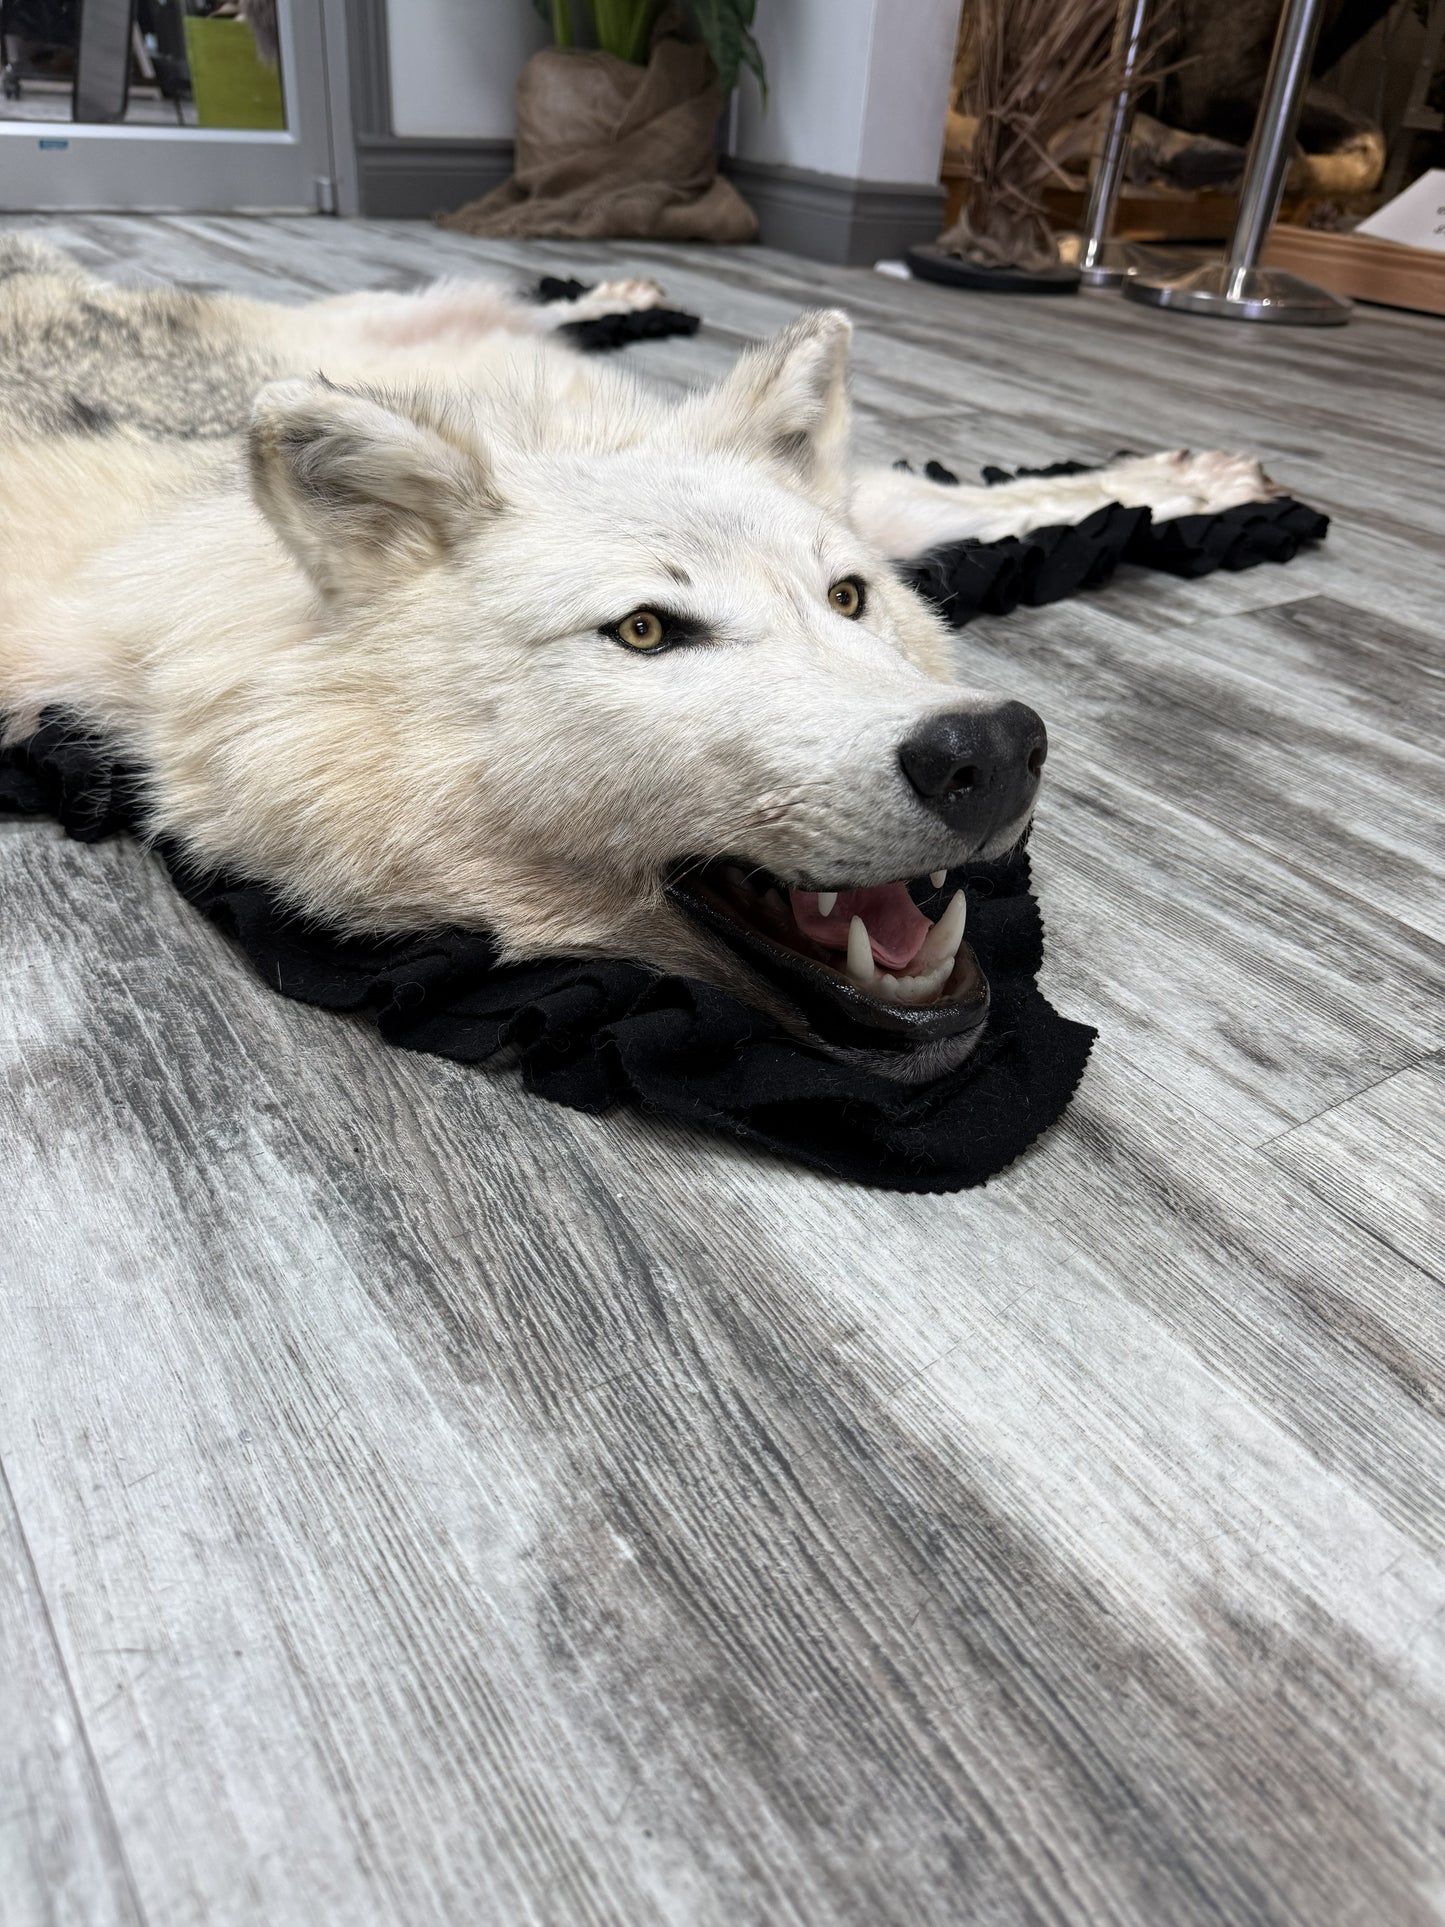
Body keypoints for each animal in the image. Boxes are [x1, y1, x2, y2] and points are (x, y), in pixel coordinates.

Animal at [0, 233, 1275, 1079]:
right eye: (646, 631)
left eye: (847, 599)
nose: (994, 749)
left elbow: (964, 502)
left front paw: (1173, 488)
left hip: (364, 332)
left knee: (498, 300)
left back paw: (615, 287)